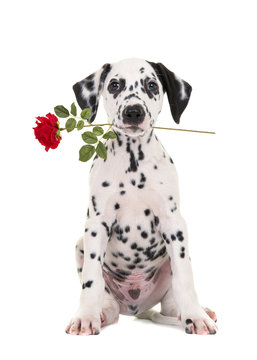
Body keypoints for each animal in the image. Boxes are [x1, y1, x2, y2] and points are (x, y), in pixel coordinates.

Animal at [64, 57, 216, 336]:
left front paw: (196, 317)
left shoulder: (174, 224)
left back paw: (193, 312)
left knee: (172, 301)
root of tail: (137, 307)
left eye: (151, 85)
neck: (133, 163)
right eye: (114, 85)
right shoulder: (96, 225)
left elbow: (185, 279)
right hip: (81, 244)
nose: (133, 112)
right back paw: (101, 313)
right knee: (109, 303)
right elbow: (91, 279)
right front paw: (85, 317)